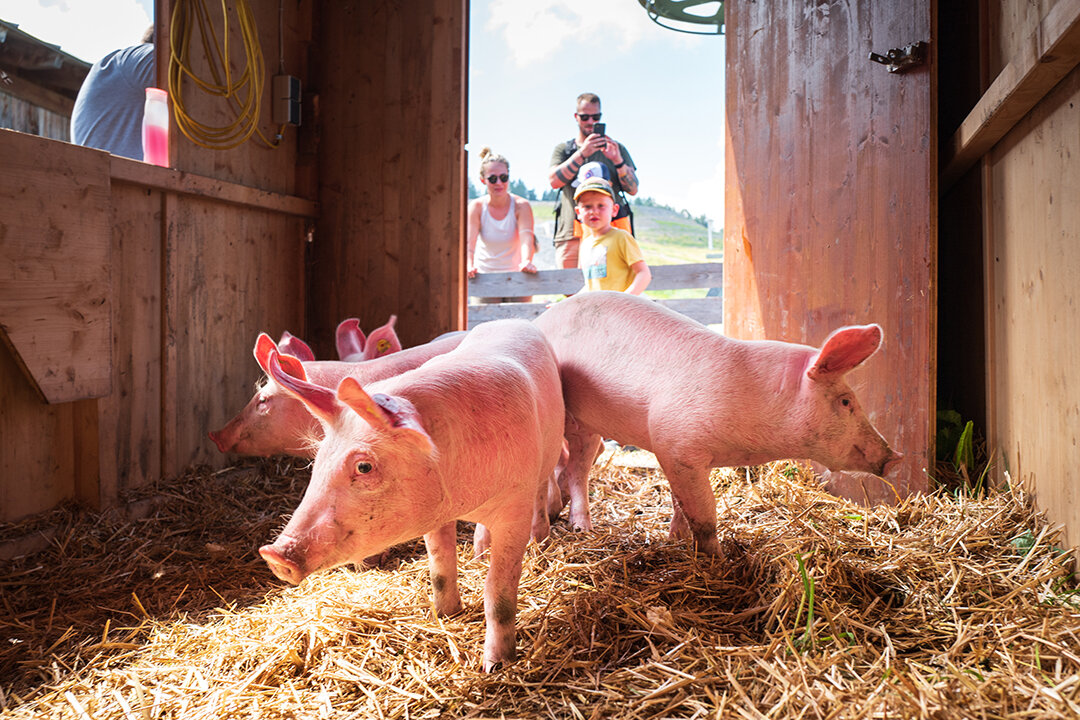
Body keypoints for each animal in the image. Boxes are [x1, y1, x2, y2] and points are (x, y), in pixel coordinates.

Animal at [259, 319, 565, 669]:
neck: (464, 497)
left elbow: (498, 590)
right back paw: (479, 553)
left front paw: (495, 666)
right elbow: (440, 568)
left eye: (364, 466)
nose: (274, 554)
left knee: (542, 488)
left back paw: (540, 539)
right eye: (318, 459)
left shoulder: (514, 507)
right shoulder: (435, 514)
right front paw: (444, 615)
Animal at [533, 289, 902, 557]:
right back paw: (580, 527)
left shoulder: (689, 457)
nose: (895, 457)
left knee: (572, 465)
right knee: (575, 470)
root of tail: (545, 316)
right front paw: (717, 560)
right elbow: (704, 513)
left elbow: (680, 503)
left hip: (588, 423)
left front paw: (676, 541)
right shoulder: (677, 446)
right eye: (846, 401)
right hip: (571, 416)